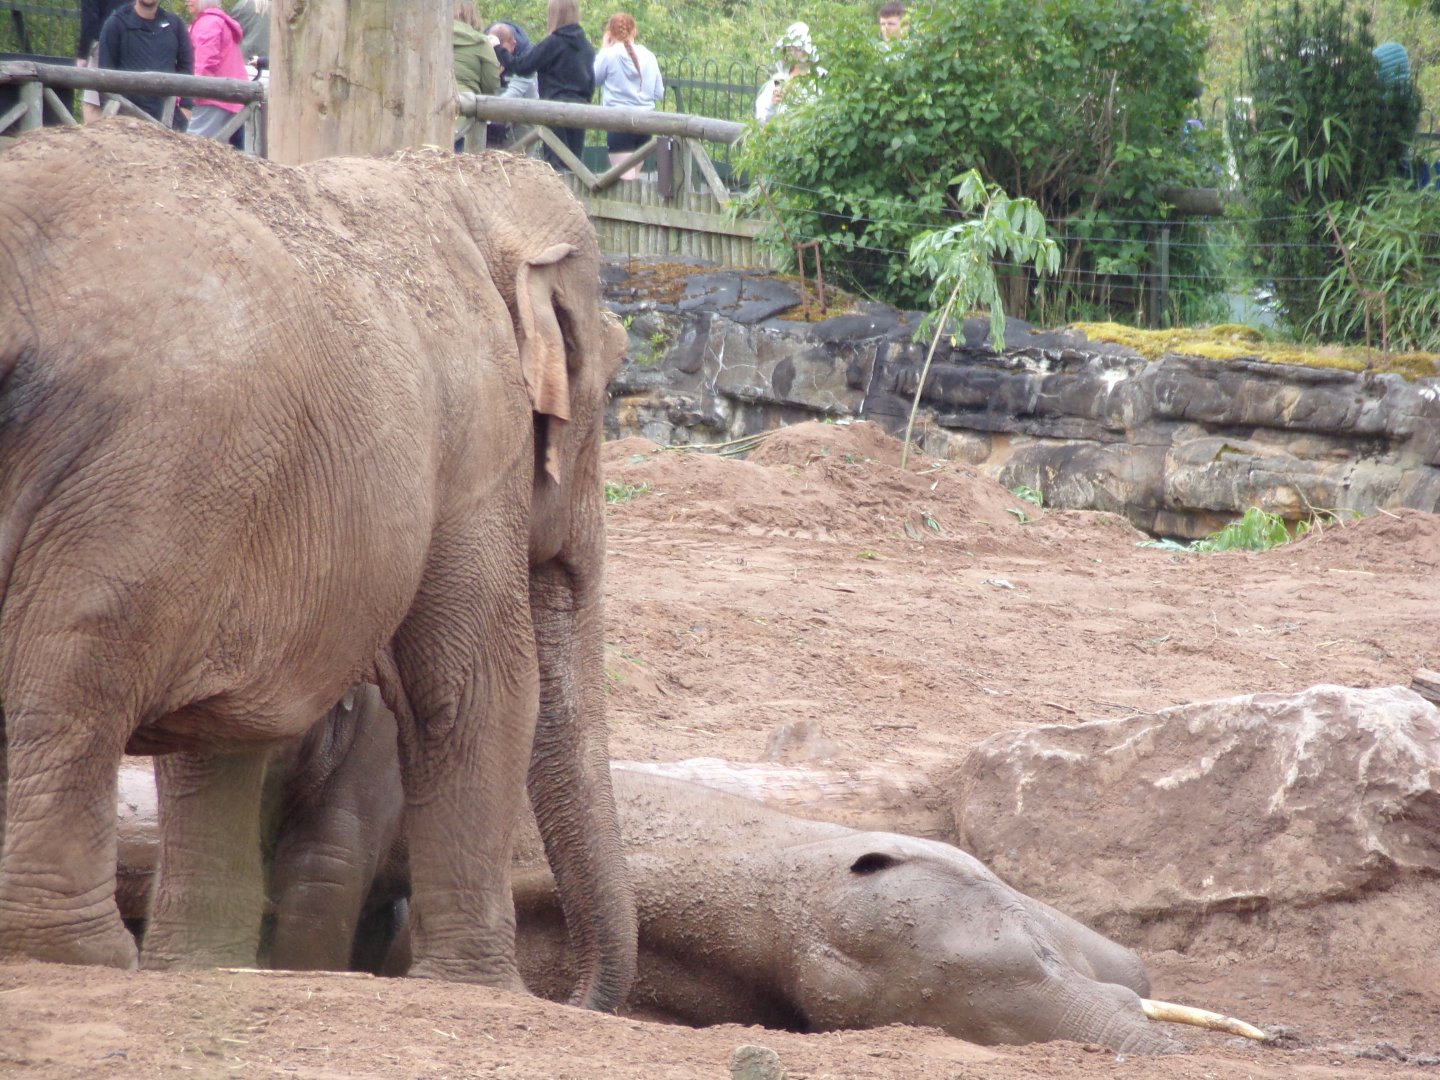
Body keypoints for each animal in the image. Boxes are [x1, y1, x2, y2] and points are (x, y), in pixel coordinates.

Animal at [0, 119, 636, 1009]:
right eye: (606, 388)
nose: (570, 995)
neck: (462, 182)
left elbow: (219, 727)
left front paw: (201, 969)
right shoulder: (477, 431)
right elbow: (477, 681)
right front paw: (482, 989)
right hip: (137, 477)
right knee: (76, 669)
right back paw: (77, 955)